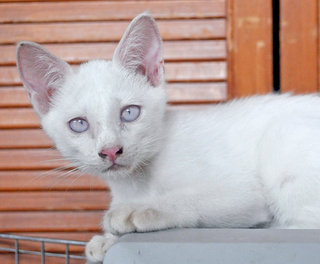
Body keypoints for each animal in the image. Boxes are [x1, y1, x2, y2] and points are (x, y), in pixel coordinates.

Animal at [16, 12, 320, 264]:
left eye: (130, 113)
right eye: (79, 124)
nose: (111, 151)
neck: (136, 183)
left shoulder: (243, 193)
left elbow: (193, 198)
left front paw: (137, 211)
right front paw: (106, 242)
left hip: (281, 136)